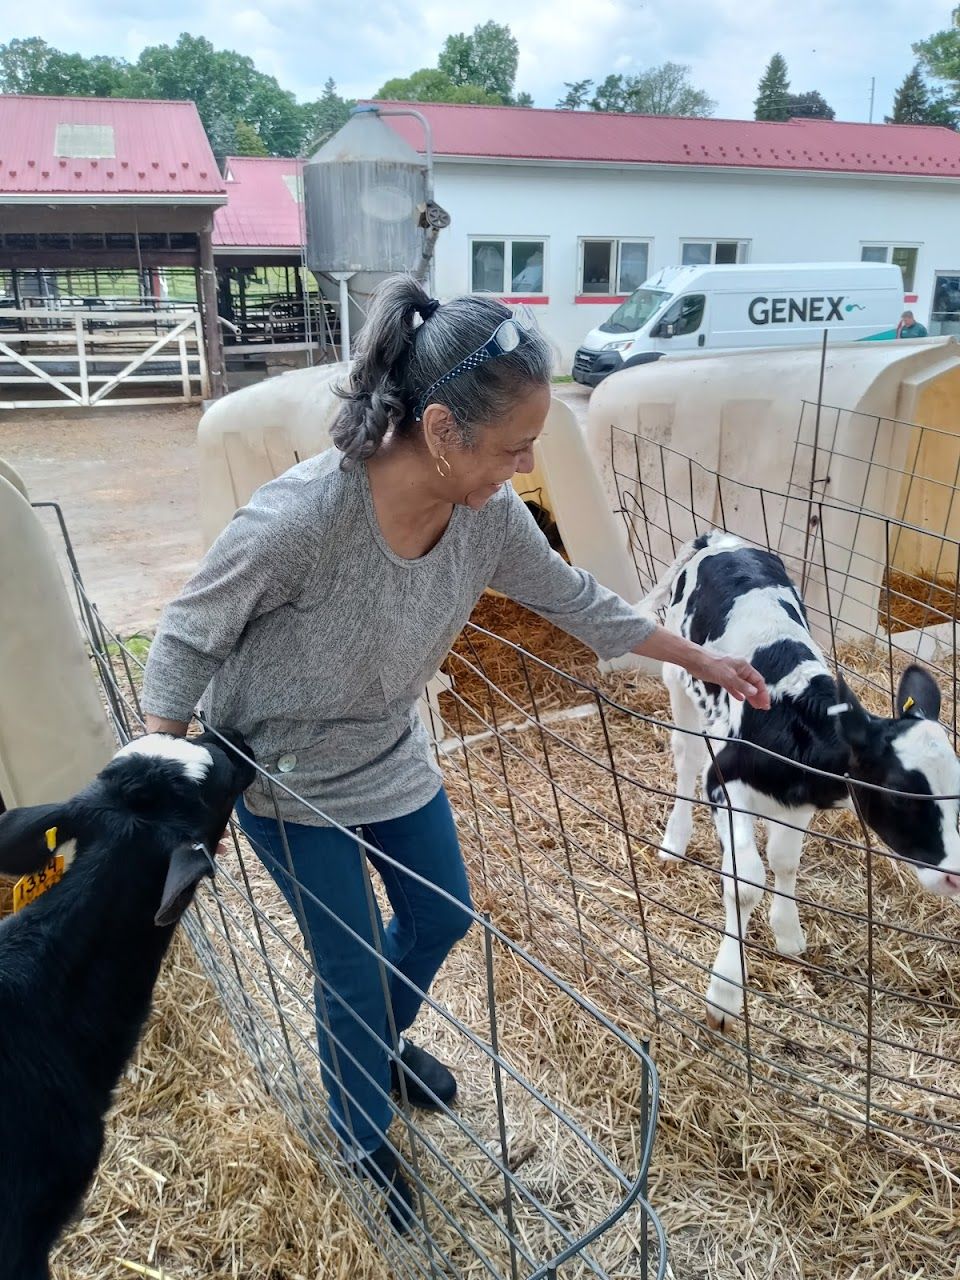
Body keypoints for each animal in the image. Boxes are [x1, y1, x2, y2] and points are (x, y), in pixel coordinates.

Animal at [650, 535, 960, 1034]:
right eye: (900, 793)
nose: (953, 876)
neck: (790, 719)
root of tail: (719, 539)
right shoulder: (724, 783)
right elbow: (745, 882)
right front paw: (723, 994)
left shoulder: (799, 804)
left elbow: (783, 861)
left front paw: (788, 933)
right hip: (678, 674)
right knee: (686, 754)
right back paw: (674, 842)